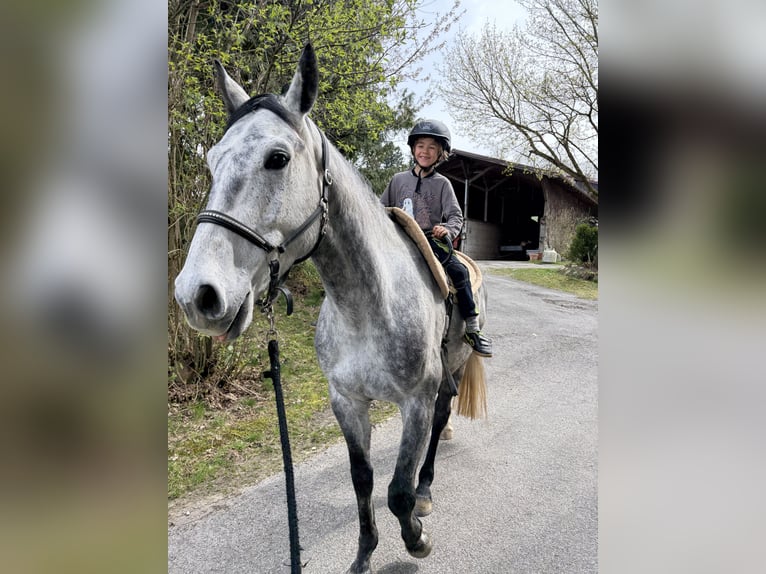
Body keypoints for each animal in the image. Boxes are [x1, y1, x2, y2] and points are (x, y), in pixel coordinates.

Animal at [174, 43, 488, 574]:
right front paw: (363, 555)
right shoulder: (346, 401)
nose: (197, 294)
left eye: (278, 158)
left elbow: (398, 491)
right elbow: (363, 480)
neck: (369, 307)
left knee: (441, 419)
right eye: (213, 160)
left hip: (455, 365)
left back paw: (426, 491)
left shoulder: (415, 402)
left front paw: (416, 538)